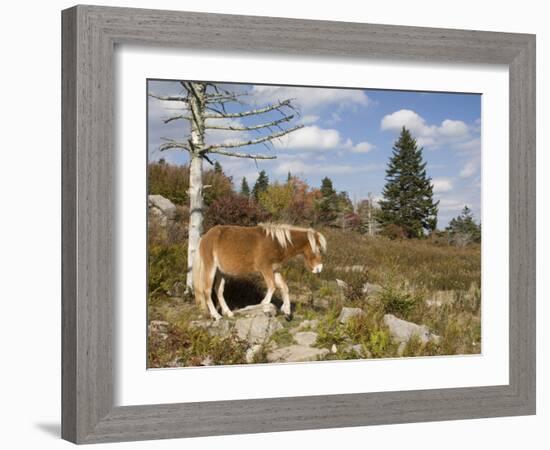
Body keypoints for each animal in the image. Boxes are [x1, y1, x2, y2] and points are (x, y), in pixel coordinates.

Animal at [194, 222, 328, 320]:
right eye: (318, 249)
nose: (319, 268)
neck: (277, 243)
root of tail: (204, 237)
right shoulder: (265, 269)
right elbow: (272, 287)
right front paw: (265, 306)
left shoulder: (275, 270)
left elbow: (284, 287)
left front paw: (286, 311)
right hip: (210, 267)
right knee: (207, 290)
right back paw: (216, 315)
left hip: (221, 272)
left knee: (219, 291)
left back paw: (228, 313)